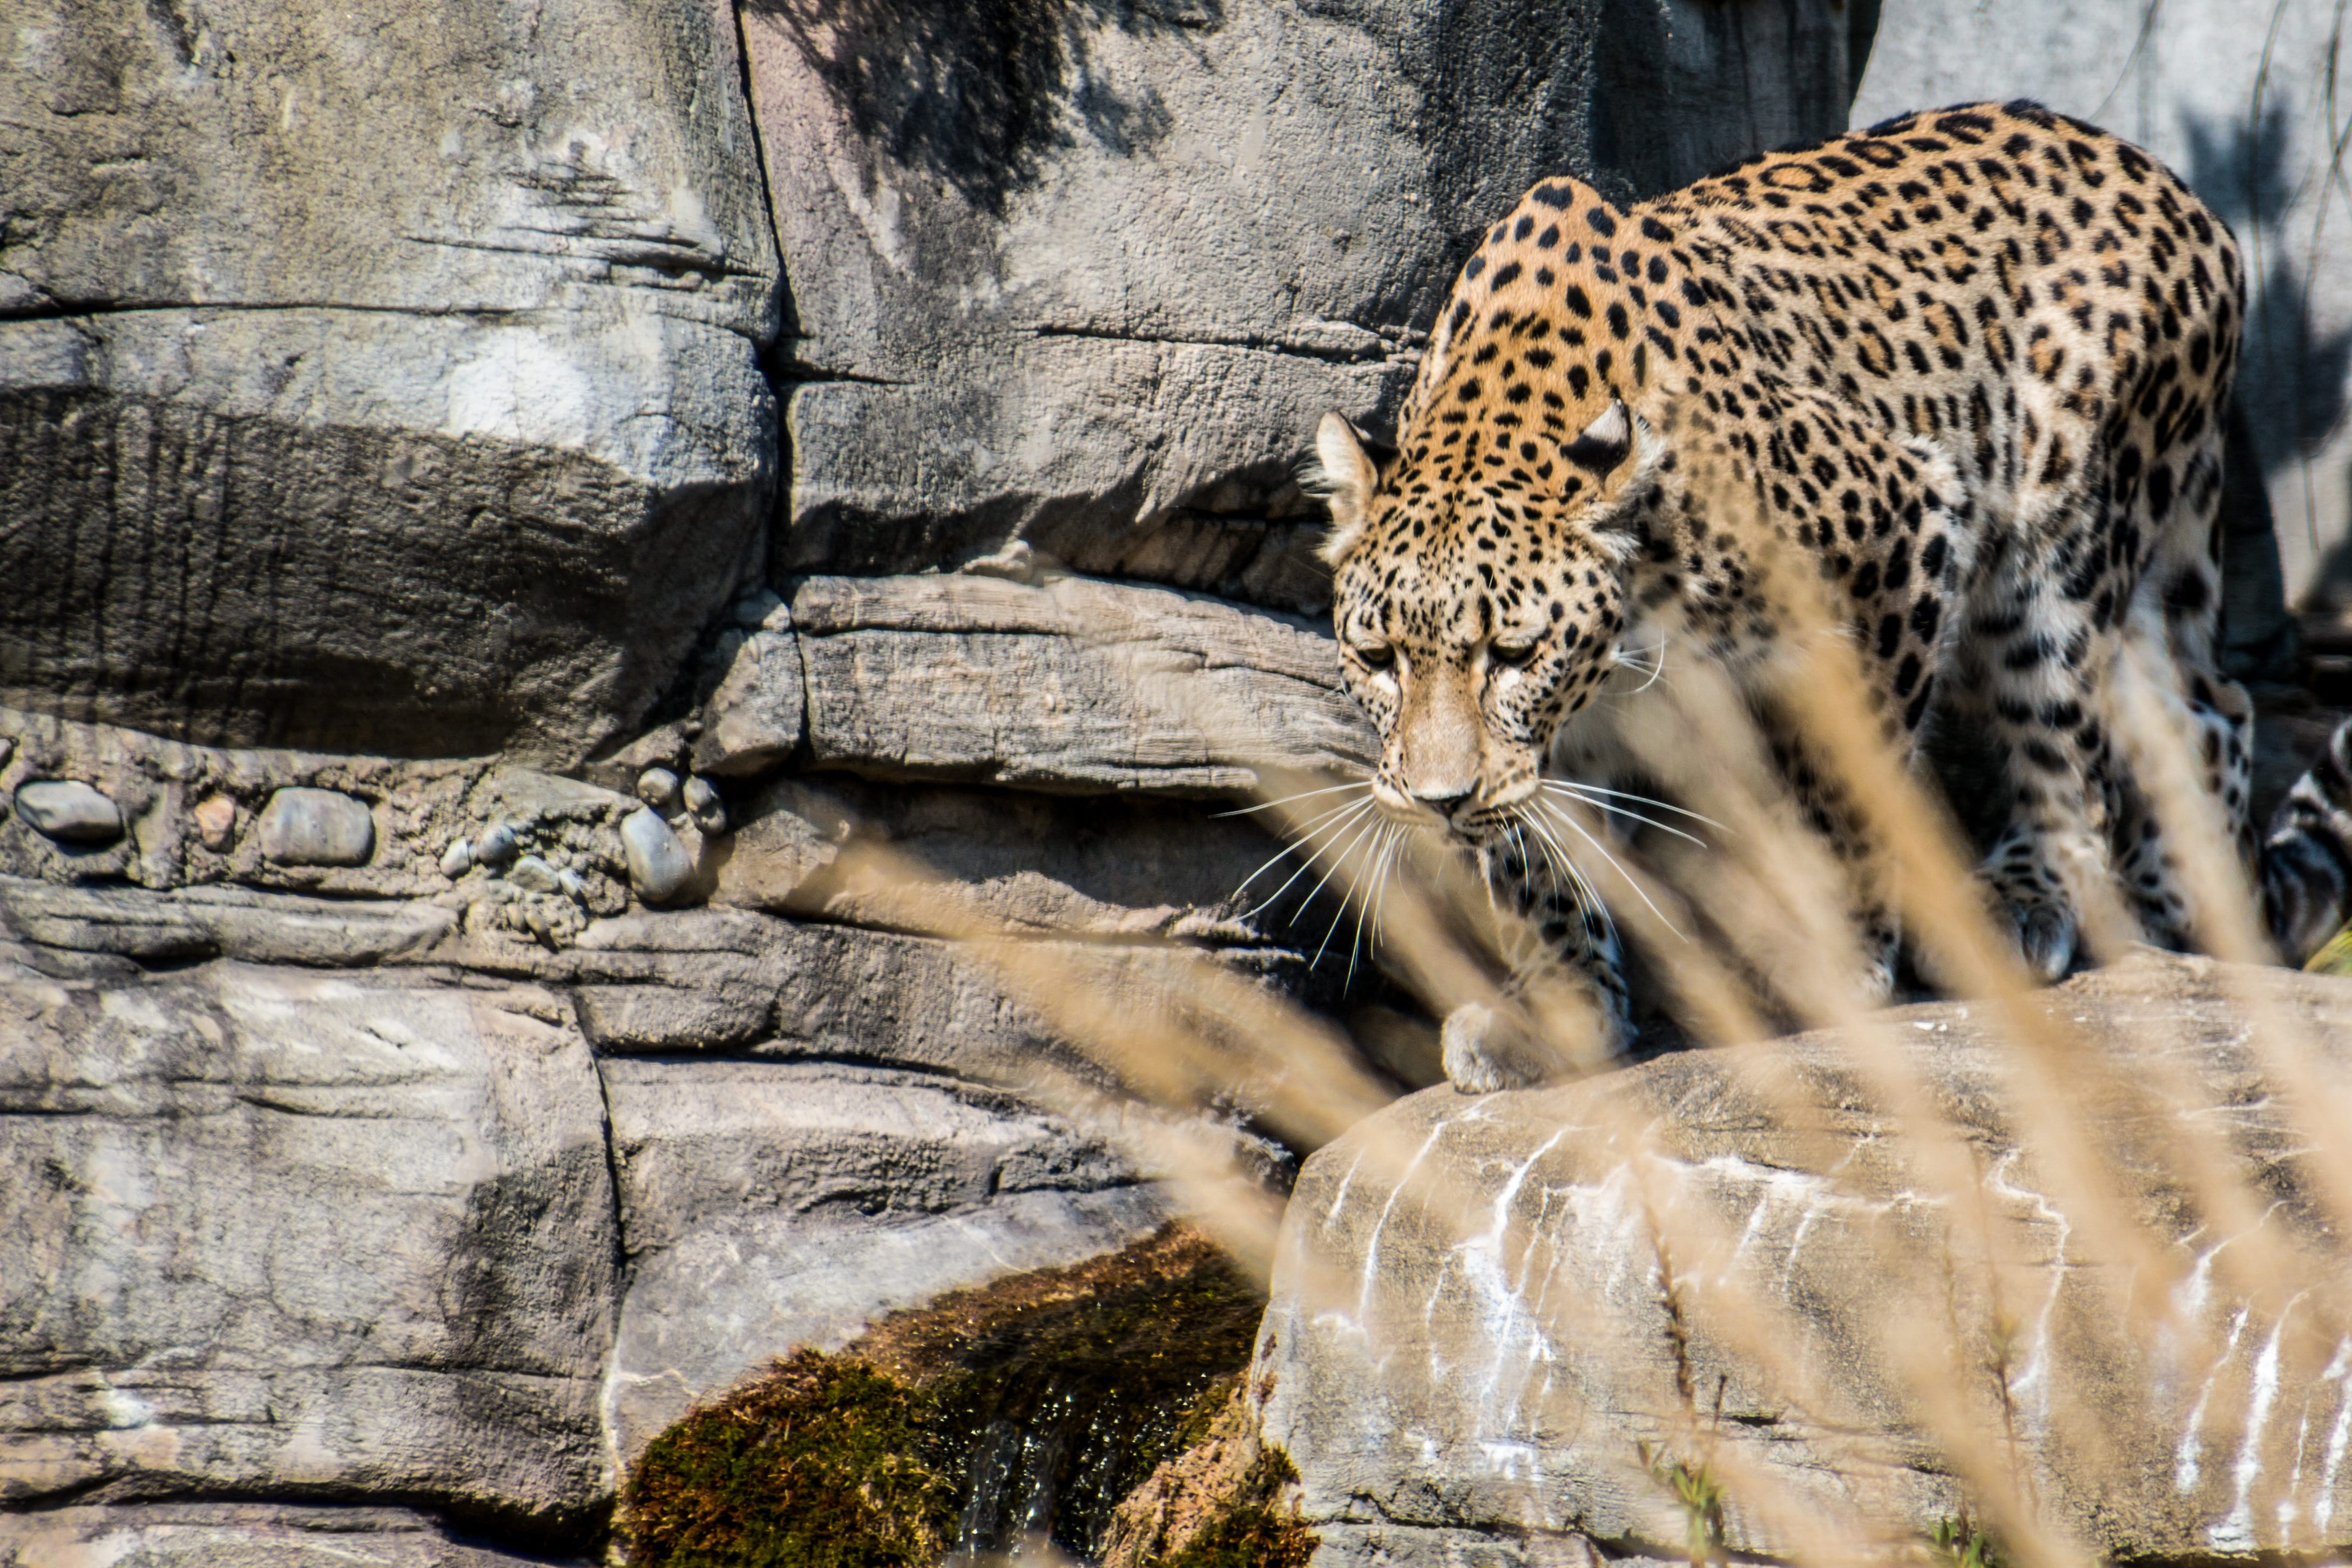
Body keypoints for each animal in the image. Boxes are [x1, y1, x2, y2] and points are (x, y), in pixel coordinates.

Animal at [1309, 100, 2275, 1092]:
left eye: (1512, 654)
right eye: (1379, 658)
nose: (1437, 801)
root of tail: (2178, 188)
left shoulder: (1903, 527)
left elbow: (1852, 787)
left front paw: (1843, 956)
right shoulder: (1550, 743)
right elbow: (1533, 861)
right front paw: (1558, 1010)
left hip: (2057, 548)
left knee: (2066, 743)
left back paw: (2031, 896)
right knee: (2211, 703)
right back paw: (2189, 899)